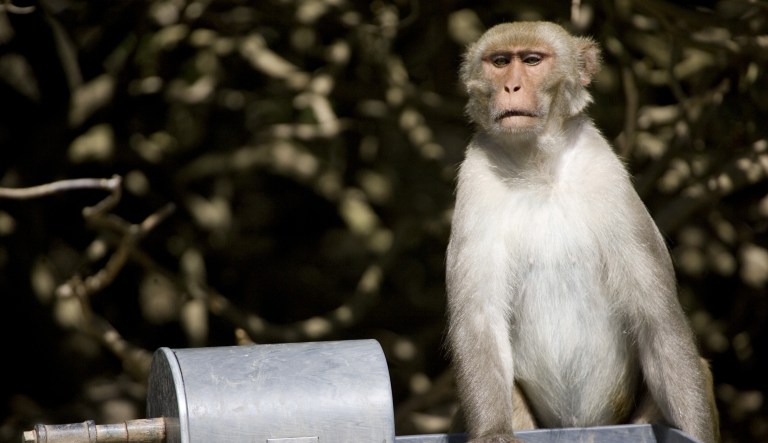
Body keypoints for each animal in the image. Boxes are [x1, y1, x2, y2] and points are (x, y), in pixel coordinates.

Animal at [445, 21, 719, 443]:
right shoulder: (475, 181)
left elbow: (658, 321)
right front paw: (493, 432)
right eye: (500, 62)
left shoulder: (607, 176)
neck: (538, 166)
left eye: (532, 60)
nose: (511, 87)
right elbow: (479, 319)